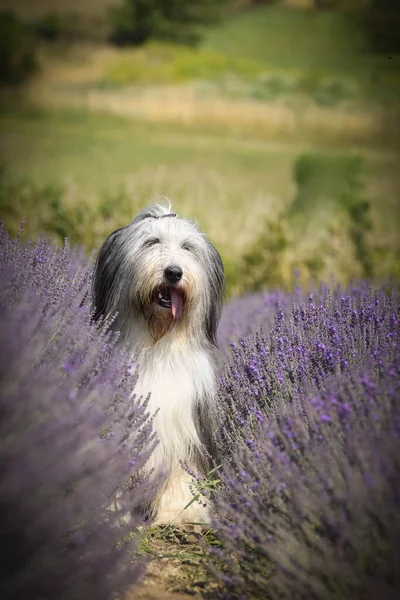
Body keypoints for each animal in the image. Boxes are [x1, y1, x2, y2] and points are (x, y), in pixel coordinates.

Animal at [93, 203, 225, 524]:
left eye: (187, 247)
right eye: (151, 242)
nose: (174, 272)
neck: (157, 345)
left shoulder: (185, 423)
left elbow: (182, 471)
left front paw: (182, 511)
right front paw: (110, 513)